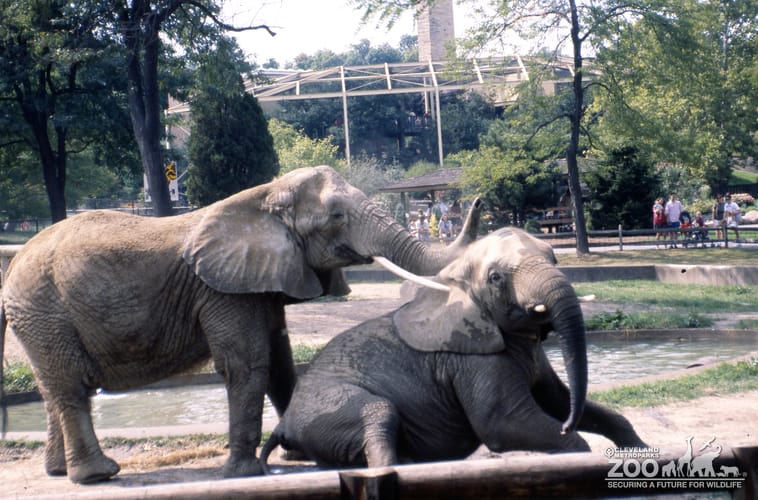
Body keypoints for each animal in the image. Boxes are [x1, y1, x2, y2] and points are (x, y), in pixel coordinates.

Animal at [0, 166, 481, 483]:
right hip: (44, 309)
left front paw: (296, 452)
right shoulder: (224, 291)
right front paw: (245, 472)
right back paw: (98, 475)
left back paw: (57, 471)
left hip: (39, 317)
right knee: (71, 385)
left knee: (53, 387)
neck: (265, 198)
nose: (477, 200)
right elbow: (248, 364)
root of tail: (14, 266)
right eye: (336, 217)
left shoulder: (262, 280)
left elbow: (280, 362)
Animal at [261, 228, 647, 470]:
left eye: (554, 258)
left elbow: (558, 398)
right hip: (329, 409)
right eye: (495, 278)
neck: (456, 280)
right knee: (379, 412)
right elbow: (501, 423)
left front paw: (643, 455)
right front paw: (572, 446)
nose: (566, 424)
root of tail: (285, 425)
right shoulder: (472, 361)